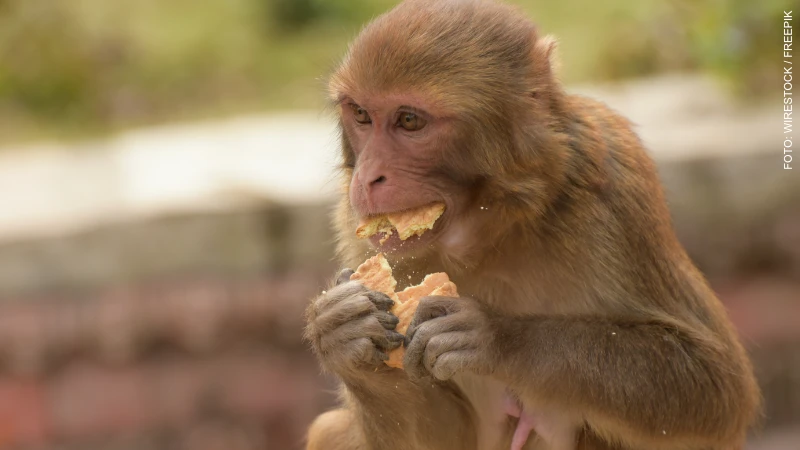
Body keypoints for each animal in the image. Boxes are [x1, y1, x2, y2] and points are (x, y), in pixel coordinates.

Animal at [304, 0, 760, 450]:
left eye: (410, 121)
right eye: (361, 114)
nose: (368, 177)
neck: (488, 233)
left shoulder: (616, 184)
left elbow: (716, 385)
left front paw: (496, 338)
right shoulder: (355, 230)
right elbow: (448, 435)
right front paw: (345, 337)